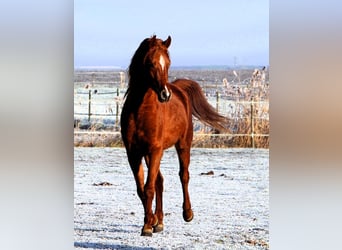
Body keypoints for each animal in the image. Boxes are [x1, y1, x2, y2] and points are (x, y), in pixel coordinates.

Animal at [121, 35, 228, 236]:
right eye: (150, 63)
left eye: (168, 63)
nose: (165, 95)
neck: (141, 111)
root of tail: (178, 88)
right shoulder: (133, 153)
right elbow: (142, 189)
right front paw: (151, 221)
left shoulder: (155, 150)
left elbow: (148, 188)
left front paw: (147, 226)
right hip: (150, 154)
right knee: (160, 181)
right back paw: (159, 221)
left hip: (183, 145)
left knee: (183, 176)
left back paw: (187, 213)